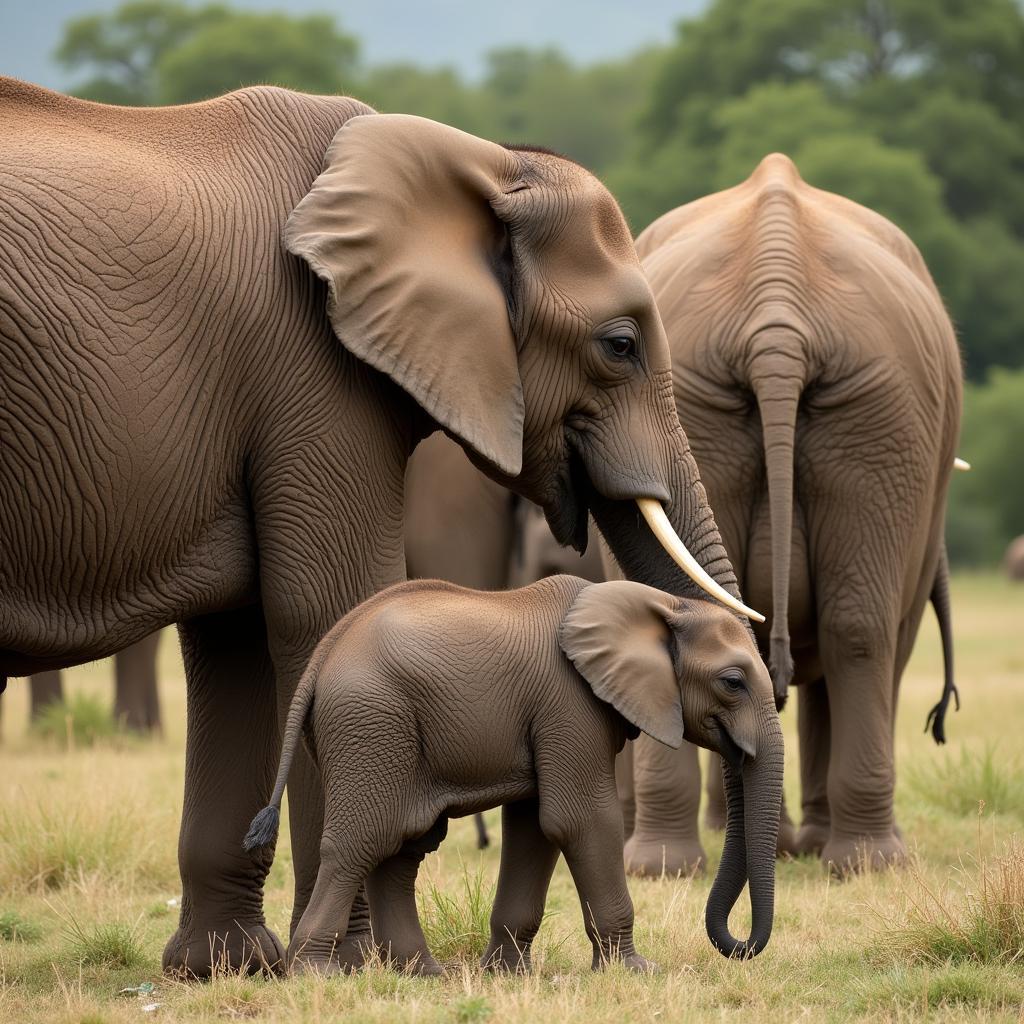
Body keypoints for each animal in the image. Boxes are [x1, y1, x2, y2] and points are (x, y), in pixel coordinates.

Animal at [241, 581, 782, 970]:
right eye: (732, 682)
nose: (738, 946)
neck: (662, 604)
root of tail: (321, 658)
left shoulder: (549, 717)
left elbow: (535, 829)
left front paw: (507, 973)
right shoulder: (569, 703)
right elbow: (582, 820)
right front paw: (637, 971)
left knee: (400, 845)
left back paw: (423, 974)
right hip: (371, 723)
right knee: (364, 840)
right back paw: (316, 973)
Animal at [626, 153, 962, 872]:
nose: (943, 720)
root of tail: (776, 316)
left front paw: (791, 846)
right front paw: (795, 846)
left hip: (855, 407)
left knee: (846, 627)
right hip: (876, 415)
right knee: (864, 631)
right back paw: (860, 860)